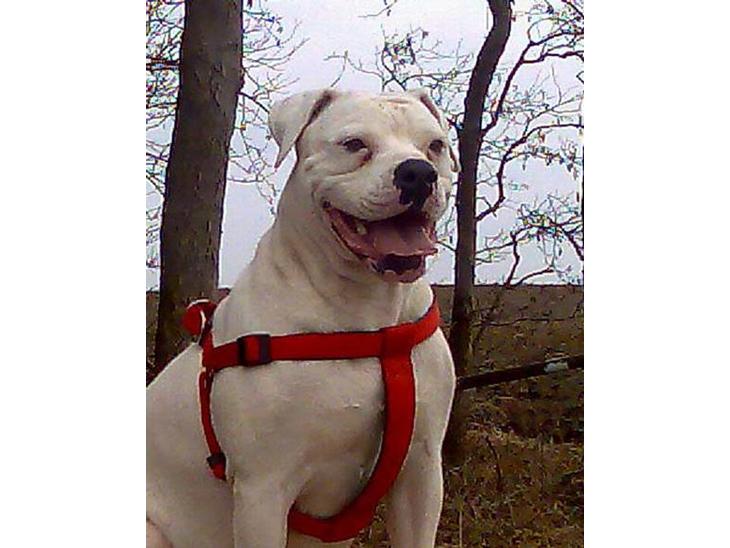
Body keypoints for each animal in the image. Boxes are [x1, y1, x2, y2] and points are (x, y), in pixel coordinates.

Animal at [147, 88, 459, 547]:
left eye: (435, 145)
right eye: (354, 144)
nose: (418, 173)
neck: (368, 318)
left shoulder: (421, 472)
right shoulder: (264, 488)